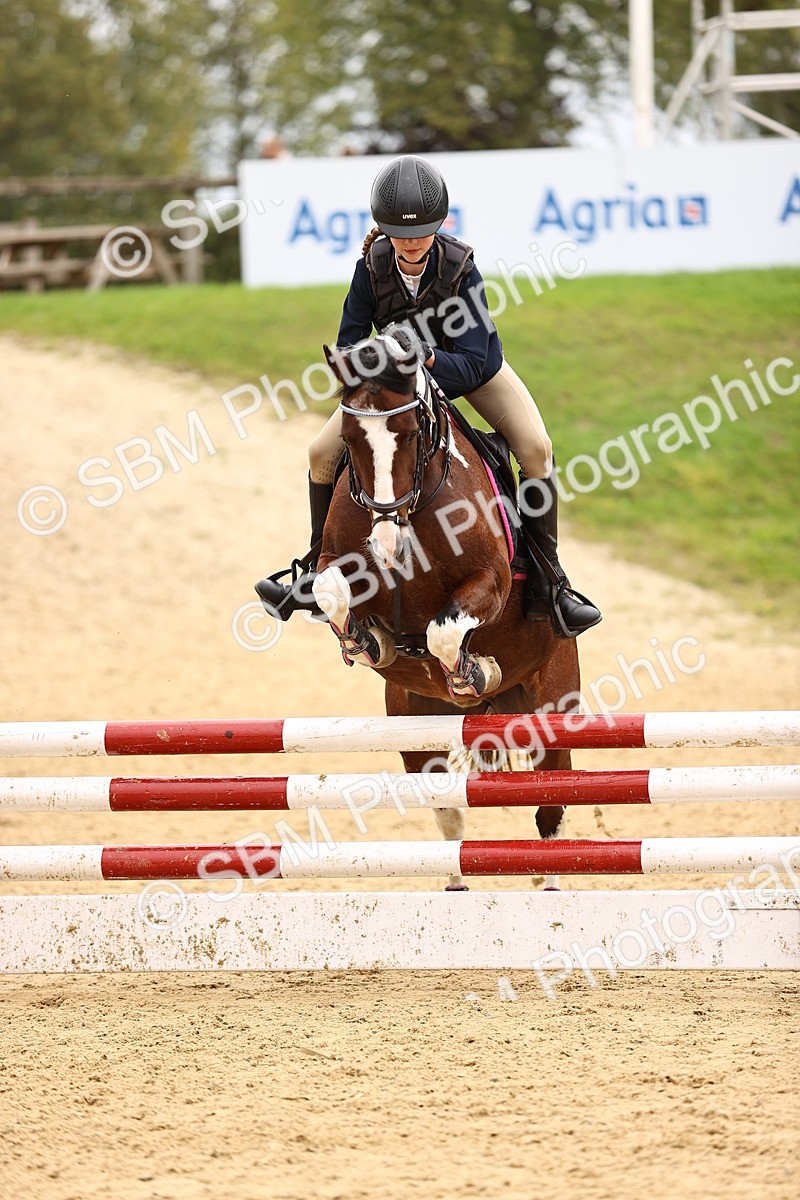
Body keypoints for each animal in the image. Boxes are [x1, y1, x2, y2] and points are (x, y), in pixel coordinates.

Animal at [312, 333, 581, 890]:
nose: (385, 544)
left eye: (413, 432)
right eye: (348, 439)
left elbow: (443, 631)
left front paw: (472, 671)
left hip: (552, 705)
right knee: (447, 809)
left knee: (551, 807)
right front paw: (364, 640)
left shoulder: (490, 581)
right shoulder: (334, 561)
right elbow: (331, 591)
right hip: (413, 719)